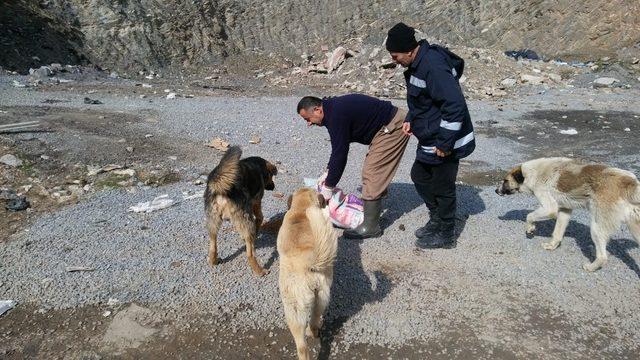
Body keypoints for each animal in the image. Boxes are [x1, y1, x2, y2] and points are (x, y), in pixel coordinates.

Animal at [204, 146, 276, 276]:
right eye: (271, 176)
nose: (273, 187)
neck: (258, 165)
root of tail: (222, 190)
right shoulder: (256, 202)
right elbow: (260, 217)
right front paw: (256, 232)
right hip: (246, 220)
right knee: (250, 254)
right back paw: (259, 270)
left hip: (213, 222)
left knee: (212, 246)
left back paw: (213, 260)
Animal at [278, 188, 340, 360]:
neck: (302, 208)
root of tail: (309, 264)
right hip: (321, 298)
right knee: (314, 320)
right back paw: (313, 332)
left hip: (294, 310)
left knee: (302, 347)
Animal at [498, 156, 640, 272]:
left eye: (505, 181)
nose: (495, 190)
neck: (534, 172)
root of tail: (629, 182)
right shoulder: (564, 210)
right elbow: (557, 232)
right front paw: (552, 246)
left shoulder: (550, 207)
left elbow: (530, 216)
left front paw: (530, 228)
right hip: (634, 229)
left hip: (597, 228)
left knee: (602, 257)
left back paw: (590, 267)